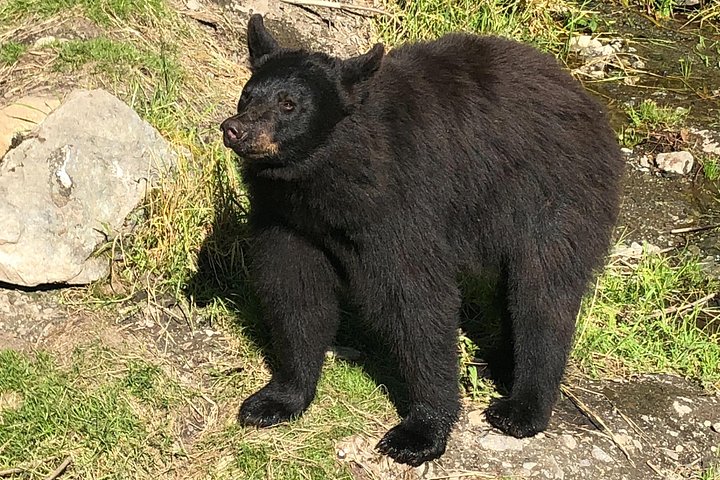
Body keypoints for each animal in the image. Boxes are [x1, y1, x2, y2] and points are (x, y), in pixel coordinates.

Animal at [220, 14, 623, 467]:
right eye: (247, 95)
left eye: (289, 104)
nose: (235, 129)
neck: (322, 181)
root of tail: (589, 104)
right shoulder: (288, 221)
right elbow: (295, 295)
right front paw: (277, 400)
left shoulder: (399, 206)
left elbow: (416, 301)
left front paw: (419, 432)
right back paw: (501, 362)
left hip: (552, 198)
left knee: (542, 295)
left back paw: (522, 408)